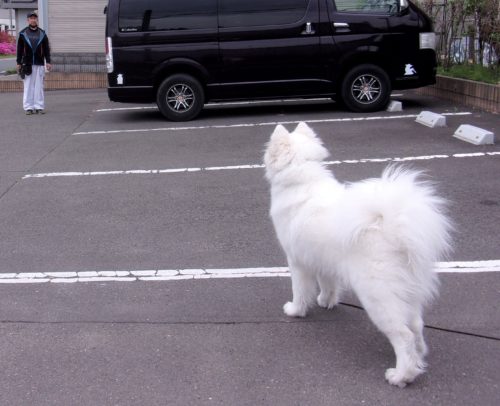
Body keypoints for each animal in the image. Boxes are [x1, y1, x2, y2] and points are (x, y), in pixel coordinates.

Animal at [264, 122, 452, 387]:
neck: (302, 179)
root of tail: (395, 232)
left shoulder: (297, 261)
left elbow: (300, 291)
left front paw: (295, 310)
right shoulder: (324, 261)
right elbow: (328, 285)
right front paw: (326, 301)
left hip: (378, 297)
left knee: (403, 335)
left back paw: (400, 376)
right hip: (407, 295)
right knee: (416, 325)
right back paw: (419, 358)